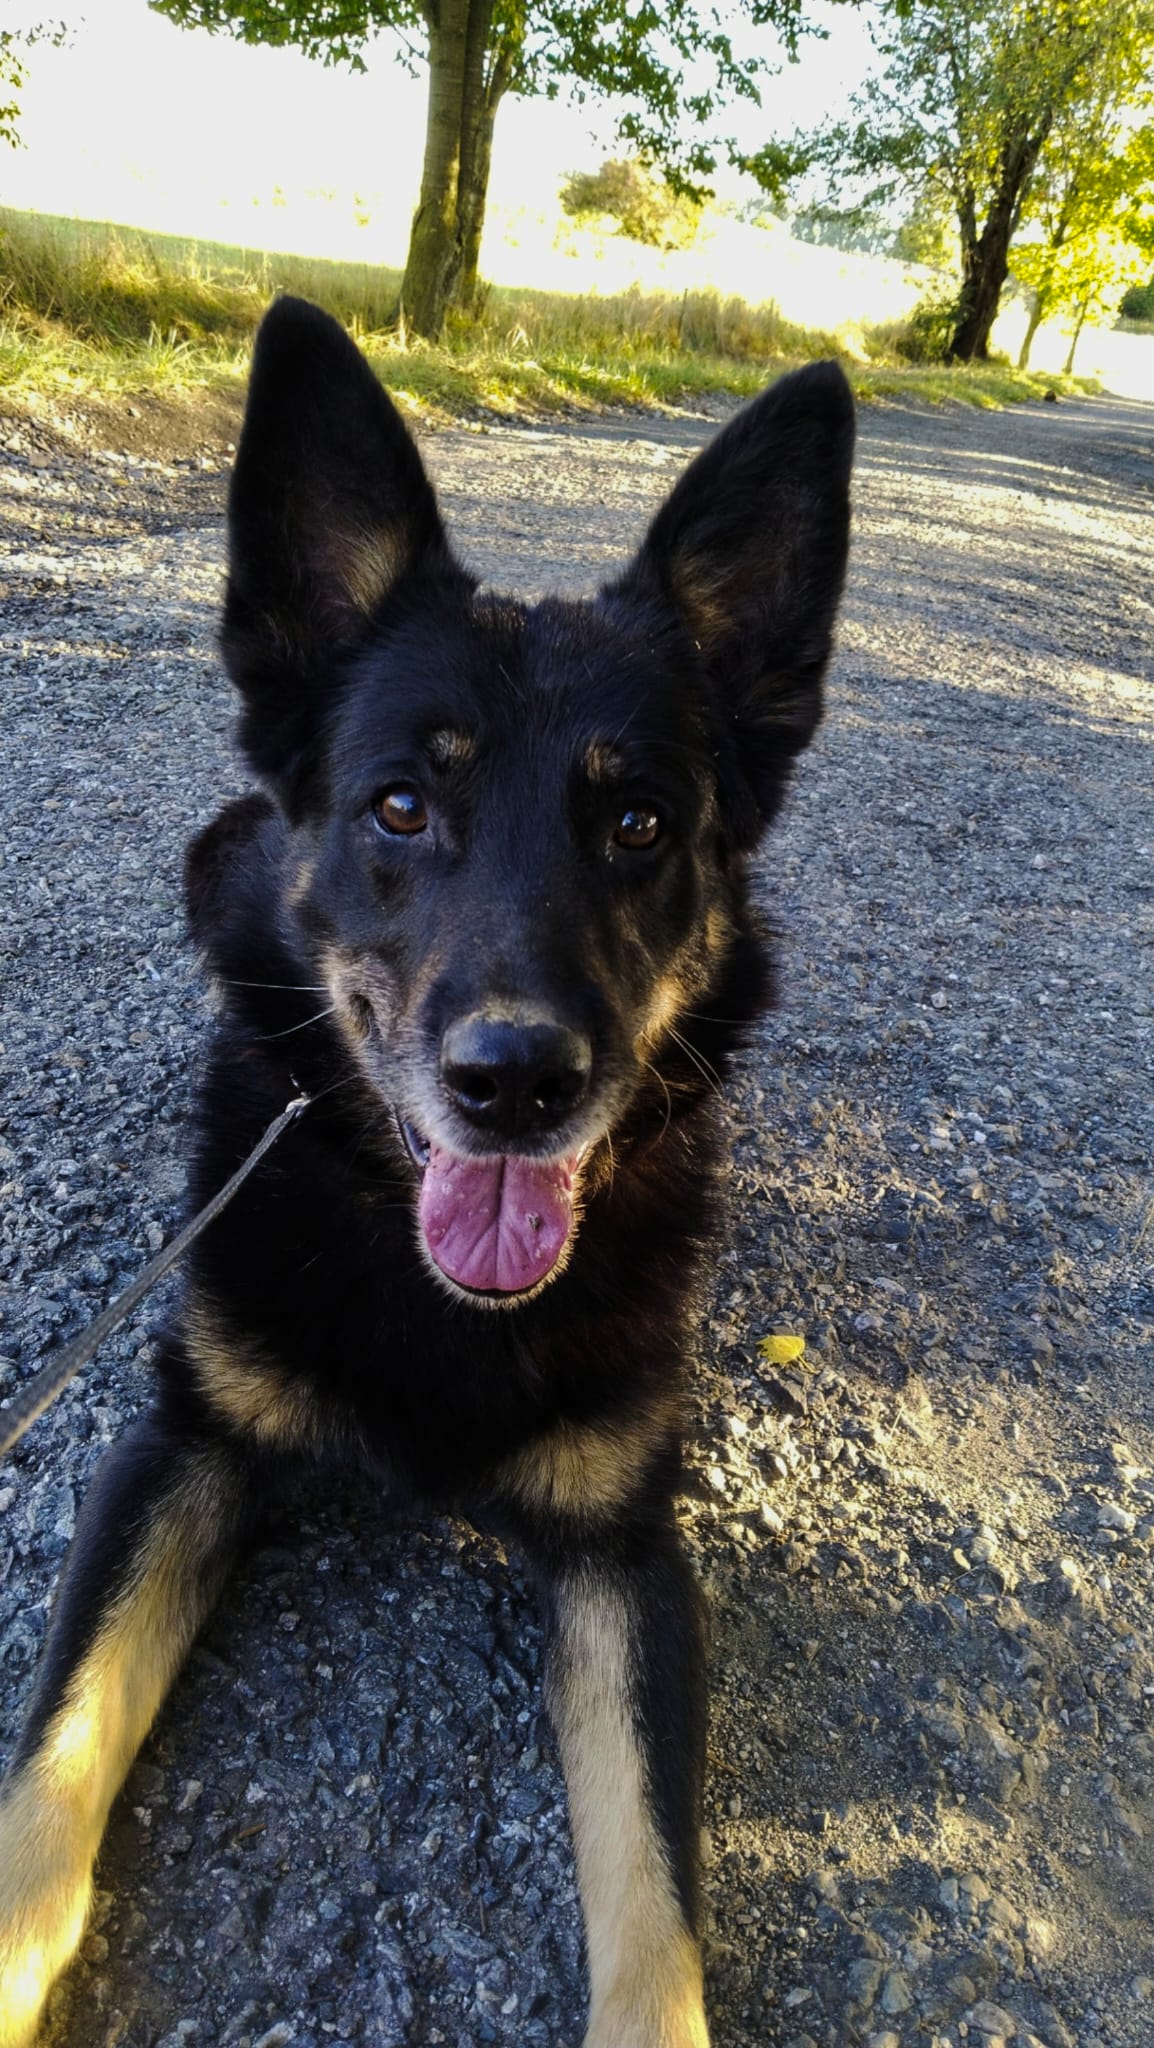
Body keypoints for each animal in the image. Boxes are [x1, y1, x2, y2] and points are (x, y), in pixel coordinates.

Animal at [0, 296, 853, 2048]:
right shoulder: (177, 1448)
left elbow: (649, 1899)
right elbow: (58, 1749)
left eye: (639, 822)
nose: (516, 1086)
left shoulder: (626, 1555)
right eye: (400, 804)